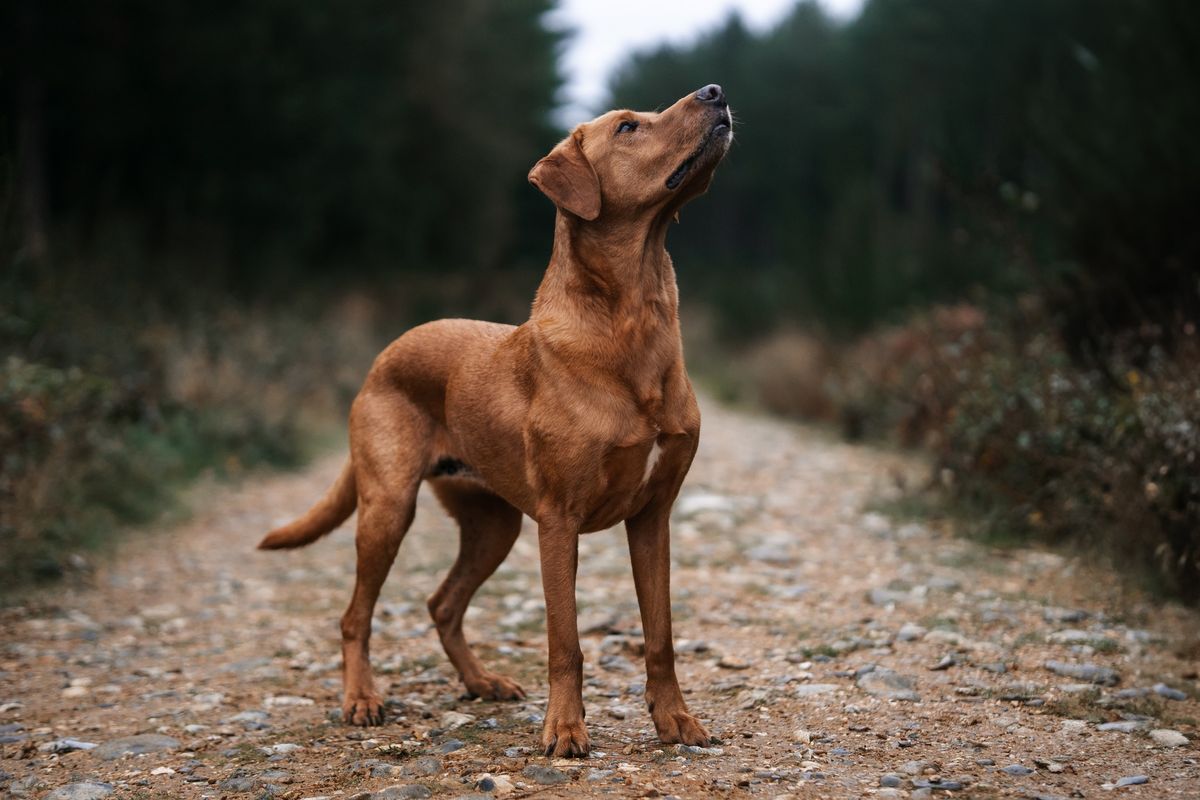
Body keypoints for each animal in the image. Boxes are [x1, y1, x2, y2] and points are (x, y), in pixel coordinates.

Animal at [260, 86, 729, 758]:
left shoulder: (652, 517)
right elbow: (566, 642)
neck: (635, 317)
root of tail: (382, 357)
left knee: (443, 604)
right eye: (628, 127)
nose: (715, 92)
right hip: (388, 509)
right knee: (356, 616)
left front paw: (675, 720)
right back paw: (362, 699)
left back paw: (481, 682)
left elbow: (659, 637)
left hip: (494, 524)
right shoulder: (558, 522)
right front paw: (565, 729)